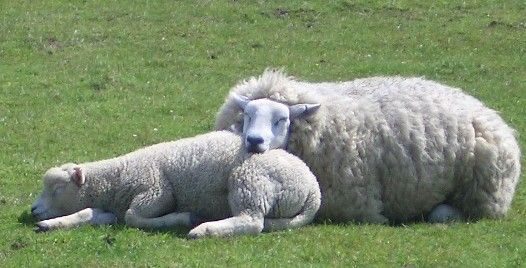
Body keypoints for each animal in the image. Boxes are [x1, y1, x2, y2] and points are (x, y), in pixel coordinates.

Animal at [33, 131, 324, 238]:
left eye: (57, 190)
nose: (33, 210)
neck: (116, 179)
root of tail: (313, 188)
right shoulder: (109, 208)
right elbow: (88, 214)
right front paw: (50, 224)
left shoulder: (156, 191)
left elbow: (132, 217)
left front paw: (182, 217)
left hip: (250, 183)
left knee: (251, 221)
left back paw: (203, 229)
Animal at [216, 69, 524, 224]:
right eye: (247, 116)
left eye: (281, 119)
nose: (254, 141)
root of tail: (489, 112)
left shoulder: (353, 202)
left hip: (483, 192)